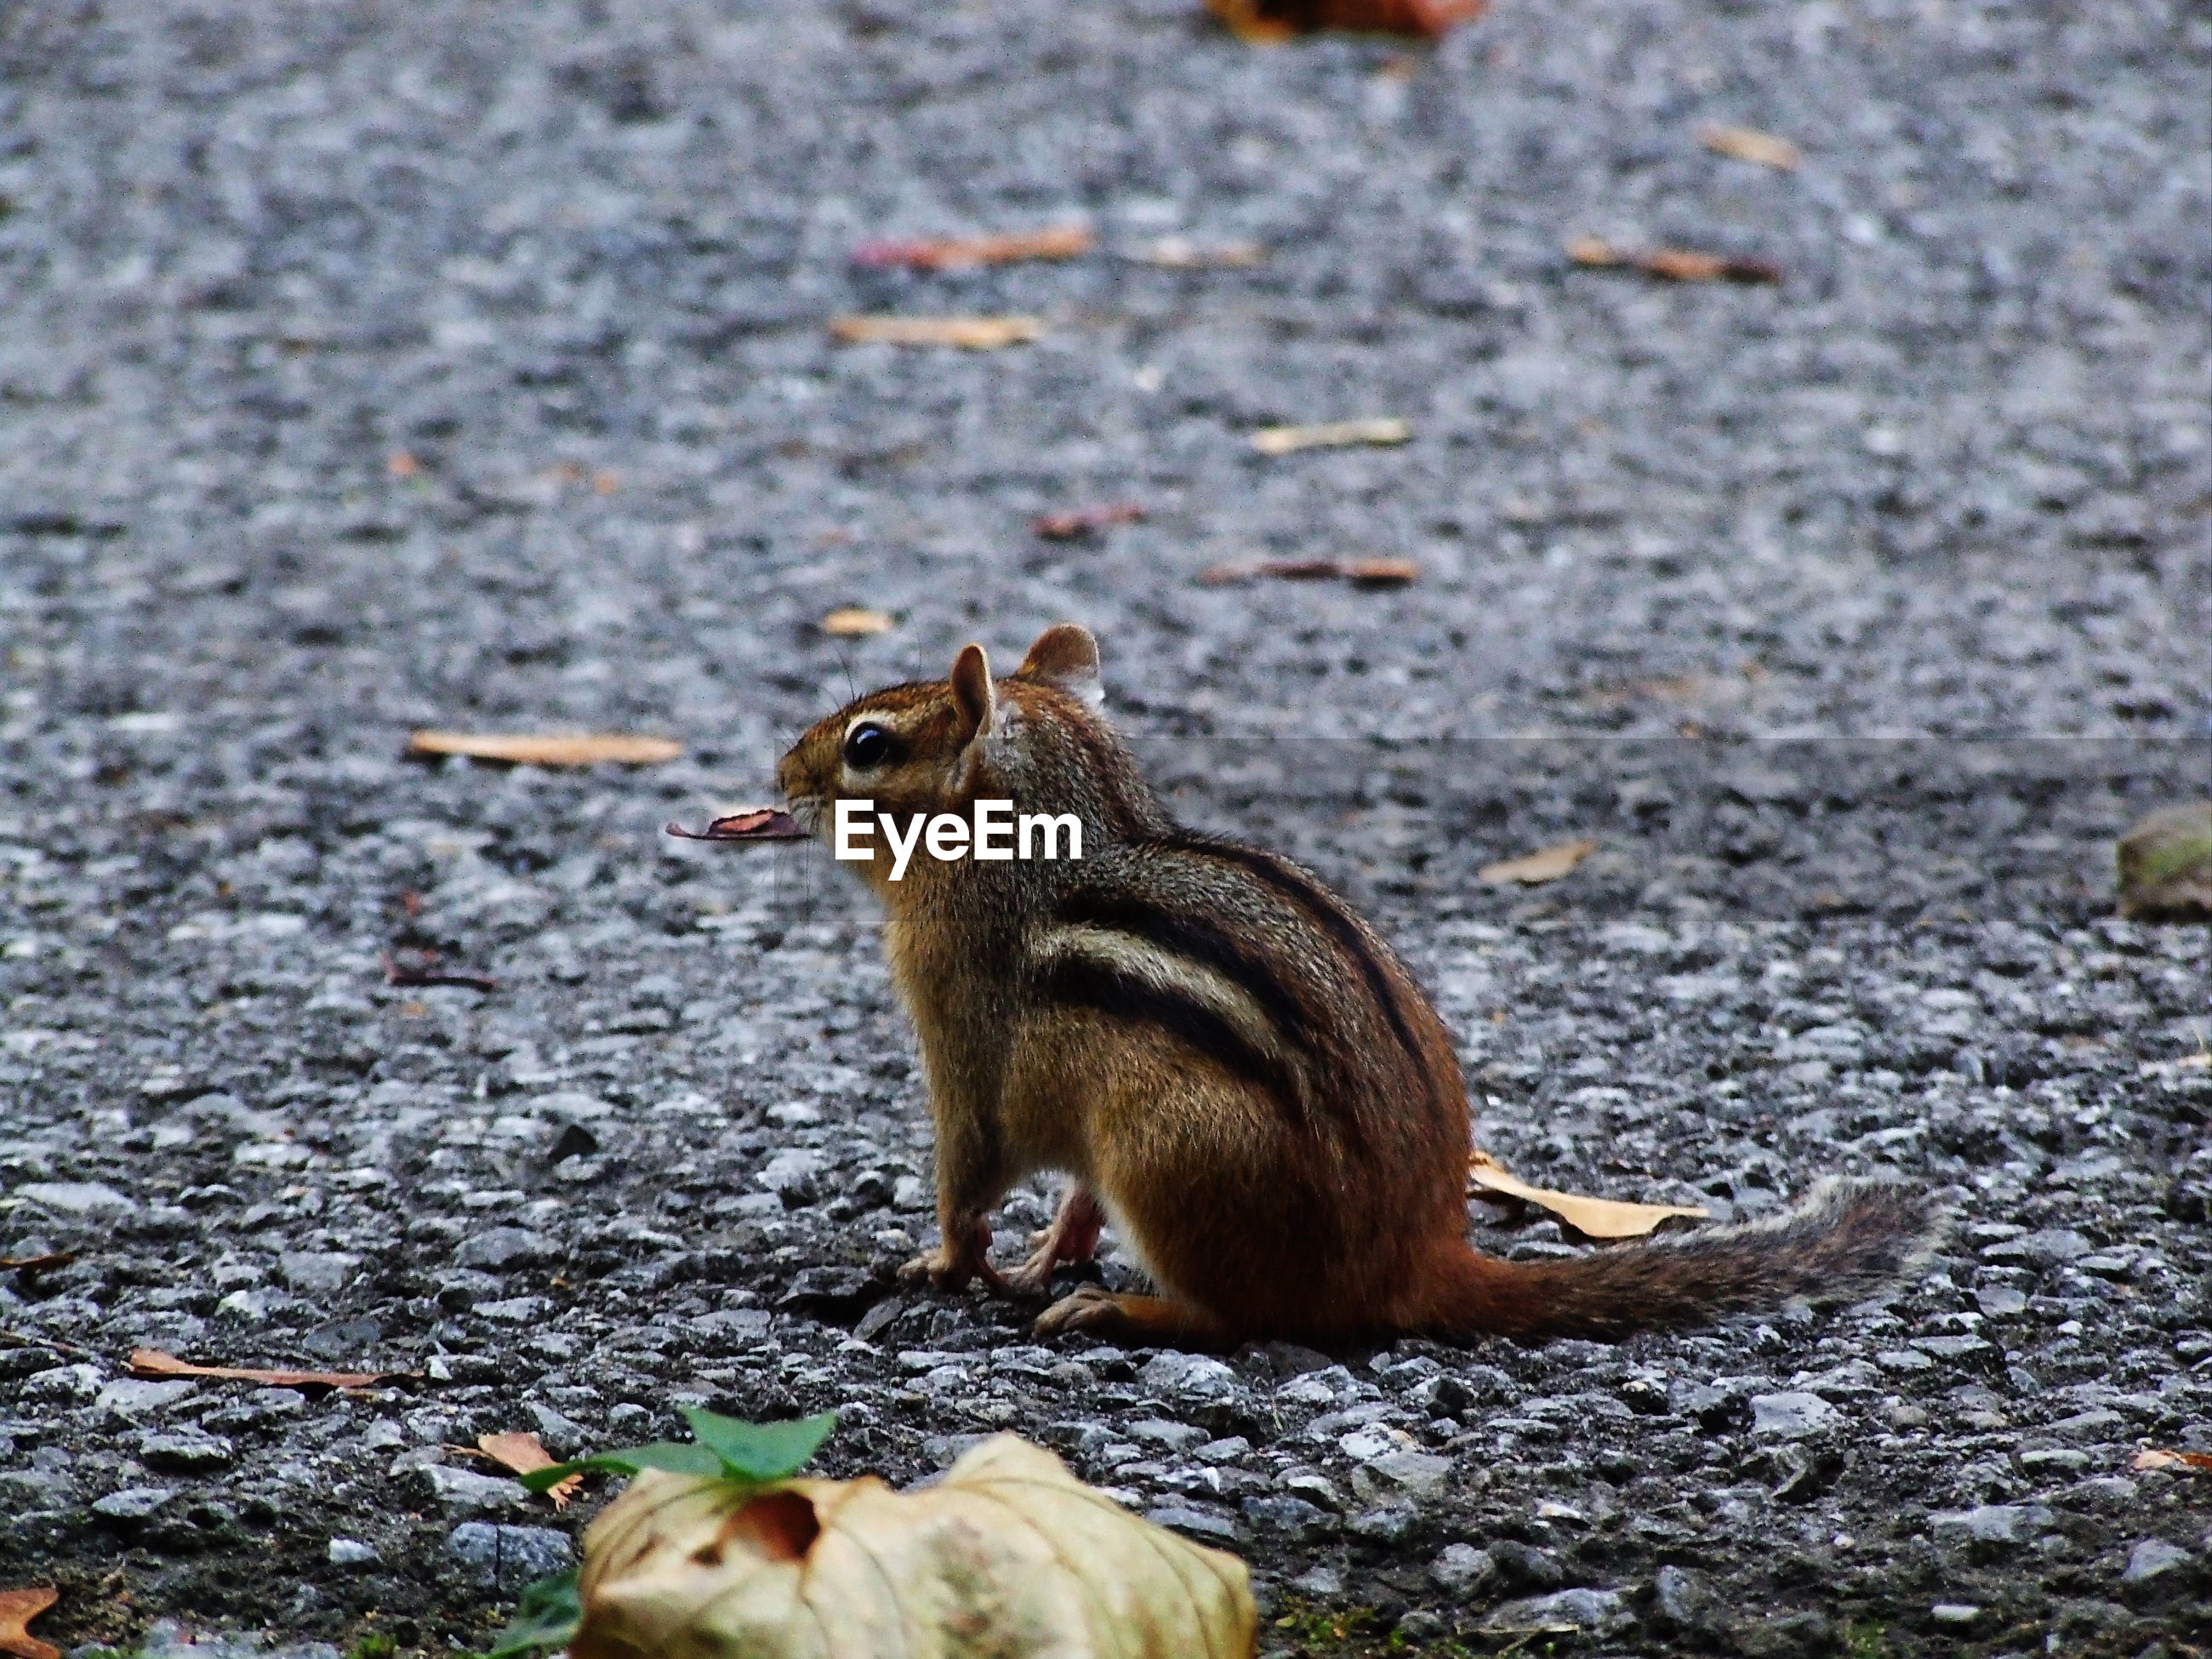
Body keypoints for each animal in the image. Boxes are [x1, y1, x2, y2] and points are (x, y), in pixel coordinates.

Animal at [774, 623, 1944, 1348]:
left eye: (868, 744)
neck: (1038, 852)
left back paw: (1123, 1315)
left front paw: (941, 1264)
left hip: (1167, 1150)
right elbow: (1070, 1201)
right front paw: (1037, 1258)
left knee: (1242, 1319)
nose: (779, 777)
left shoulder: (960, 1031)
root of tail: (1416, 1258)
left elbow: (969, 1174)